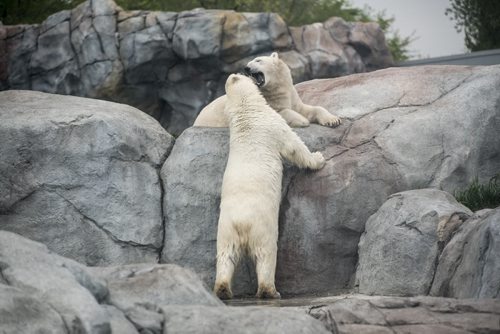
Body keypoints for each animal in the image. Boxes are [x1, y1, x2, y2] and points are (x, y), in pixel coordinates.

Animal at [193, 52, 342, 129]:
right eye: (249, 62)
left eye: (258, 60)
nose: (246, 68)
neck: (275, 88)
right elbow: (281, 111)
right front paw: (302, 120)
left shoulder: (292, 97)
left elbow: (308, 108)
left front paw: (333, 120)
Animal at [213, 74, 326, 298]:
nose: (245, 72)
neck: (246, 115)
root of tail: (241, 223)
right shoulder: (273, 124)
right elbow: (294, 146)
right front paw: (318, 158)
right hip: (263, 228)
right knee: (266, 255)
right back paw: (270, 291)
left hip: (225, 231)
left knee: (225, 256)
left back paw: (222, 288)